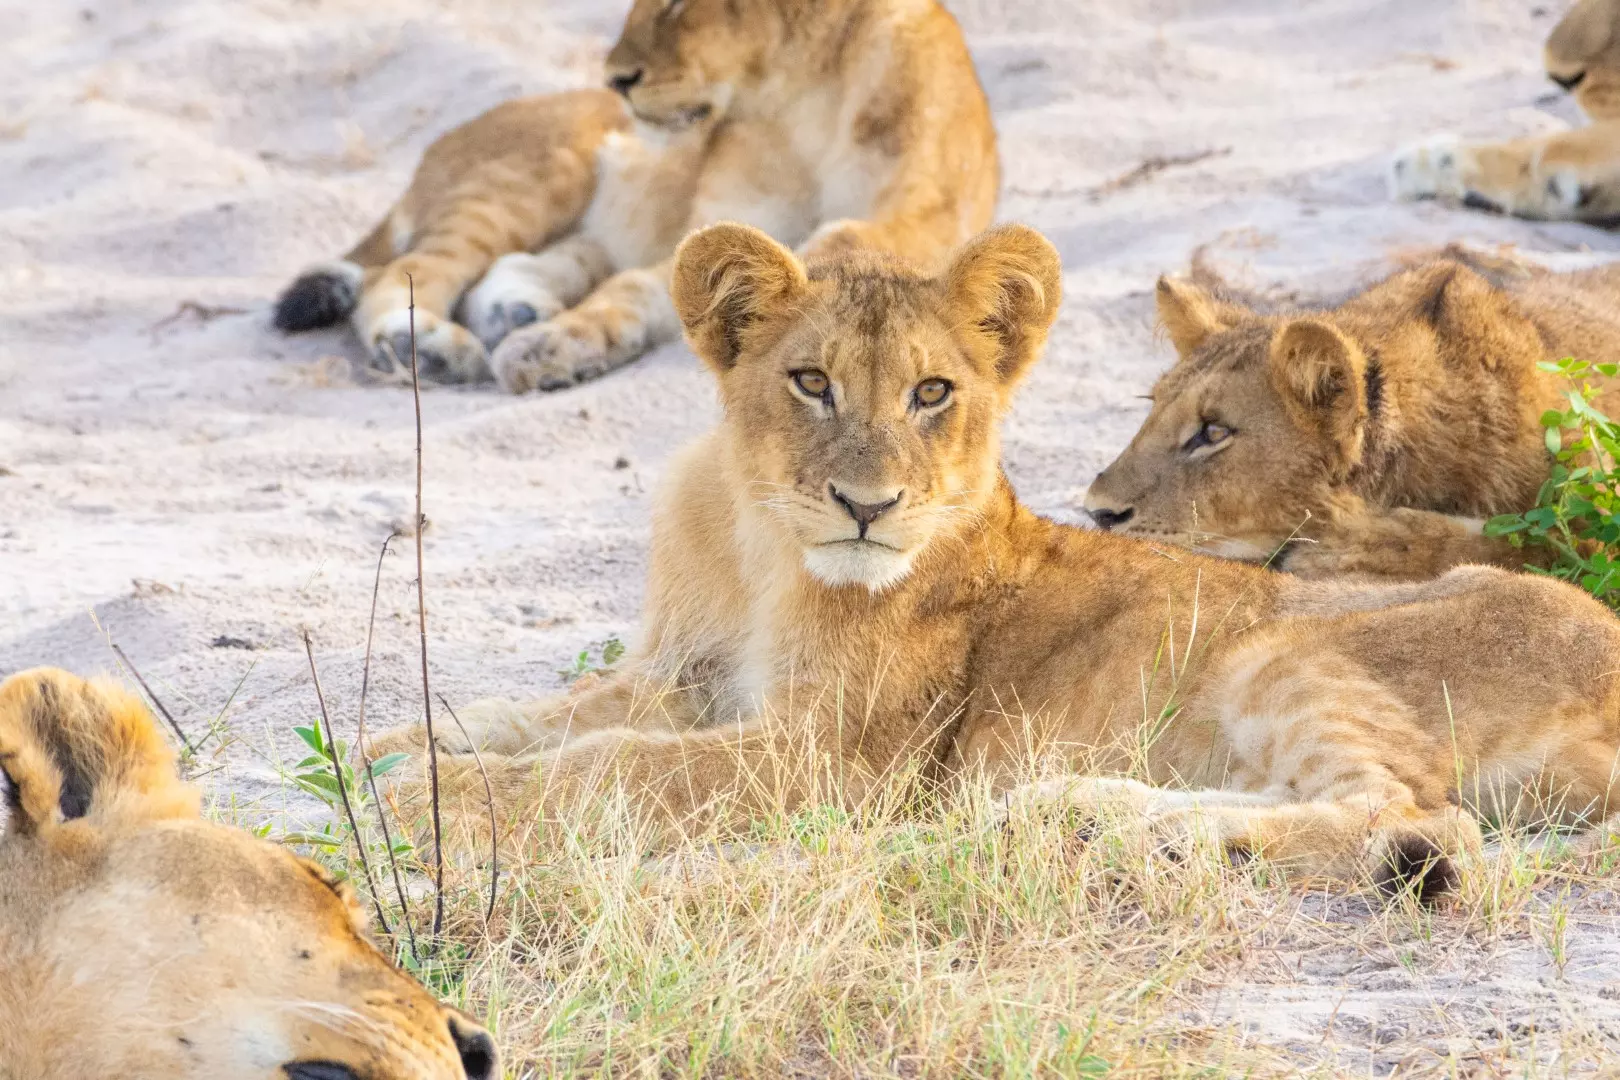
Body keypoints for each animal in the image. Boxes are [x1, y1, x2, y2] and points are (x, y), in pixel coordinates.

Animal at [273, 0, 998, 393]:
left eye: (678, 2)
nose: (616, 79)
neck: (801, 98)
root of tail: (434, 151)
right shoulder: (714, 229)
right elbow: (633, 294)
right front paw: (553, 347)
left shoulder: (927, 215)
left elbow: (846, 240)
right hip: (533, 176)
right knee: (404, 270)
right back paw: (428, 346)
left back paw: (513, 312)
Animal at [1082, 251, 1620, 579]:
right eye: (1152, 408)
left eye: (1213, 431)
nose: (1096, 513)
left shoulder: (1592, 525)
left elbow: (1520, 541)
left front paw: (1344, 548)